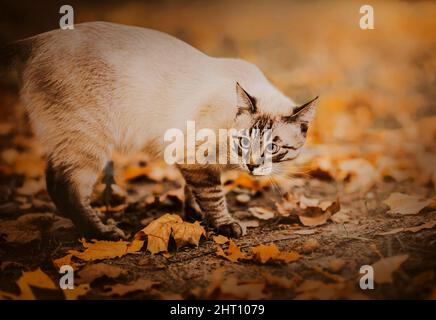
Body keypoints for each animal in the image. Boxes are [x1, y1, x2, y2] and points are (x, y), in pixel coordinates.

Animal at [0, 21, 316, 239]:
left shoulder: (192, 162)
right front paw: (224, 224)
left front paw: (194, 215)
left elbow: (193, 192)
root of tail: (35, 40)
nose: (251, 166)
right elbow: (214, 196)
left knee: (53, 180)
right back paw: (104, 233)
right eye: (244, 143)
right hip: (89, 142)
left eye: (273, 147)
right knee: (65, 188)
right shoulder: (196, 159)